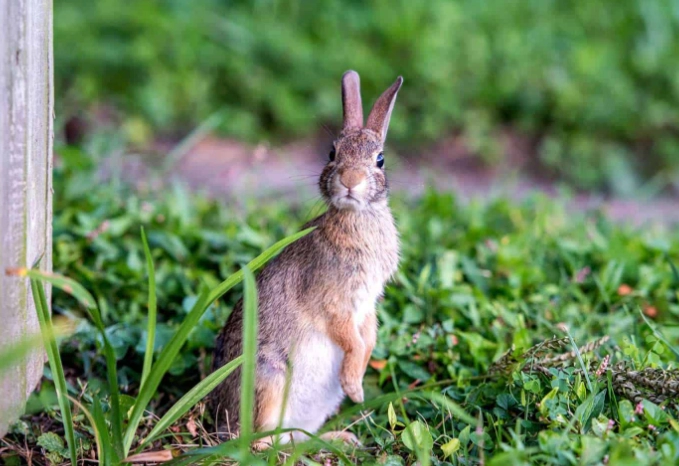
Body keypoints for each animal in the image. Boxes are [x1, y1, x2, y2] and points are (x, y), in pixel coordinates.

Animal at [211, 70, 403, 448]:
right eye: (331, 153)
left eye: (380, 160)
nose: (350, 180)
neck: (357, 217)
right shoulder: (333, 301)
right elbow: (349, 337)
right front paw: (355, 387)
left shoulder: (367, 303)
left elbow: (368, 336)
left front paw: (357, 384)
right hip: (269, 376)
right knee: (257, 442)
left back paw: (339, 438)